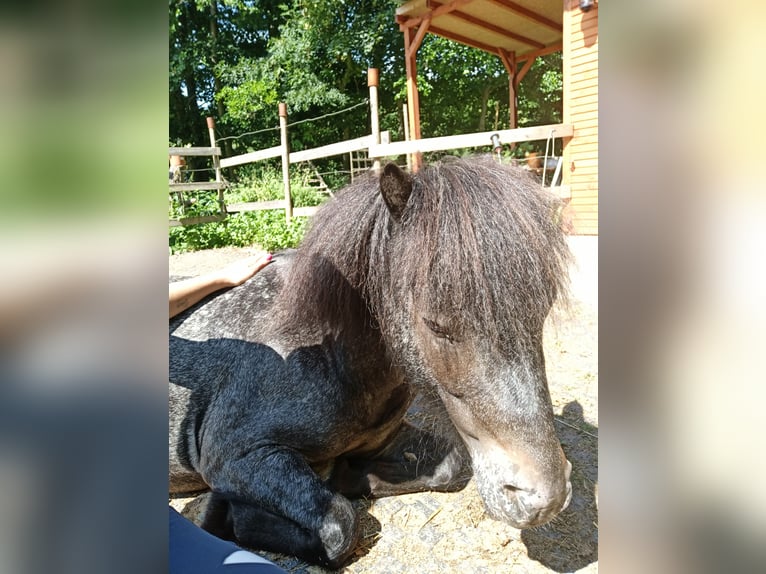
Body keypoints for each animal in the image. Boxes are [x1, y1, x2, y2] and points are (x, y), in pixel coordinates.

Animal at [169, 157, 573, 568]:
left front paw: (347, 476)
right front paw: (225, 516)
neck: (325, 352)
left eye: (543, 309)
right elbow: (339, 525)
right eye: (436, 325)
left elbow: (449, 467)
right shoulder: (236, 457)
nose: (543, 499)